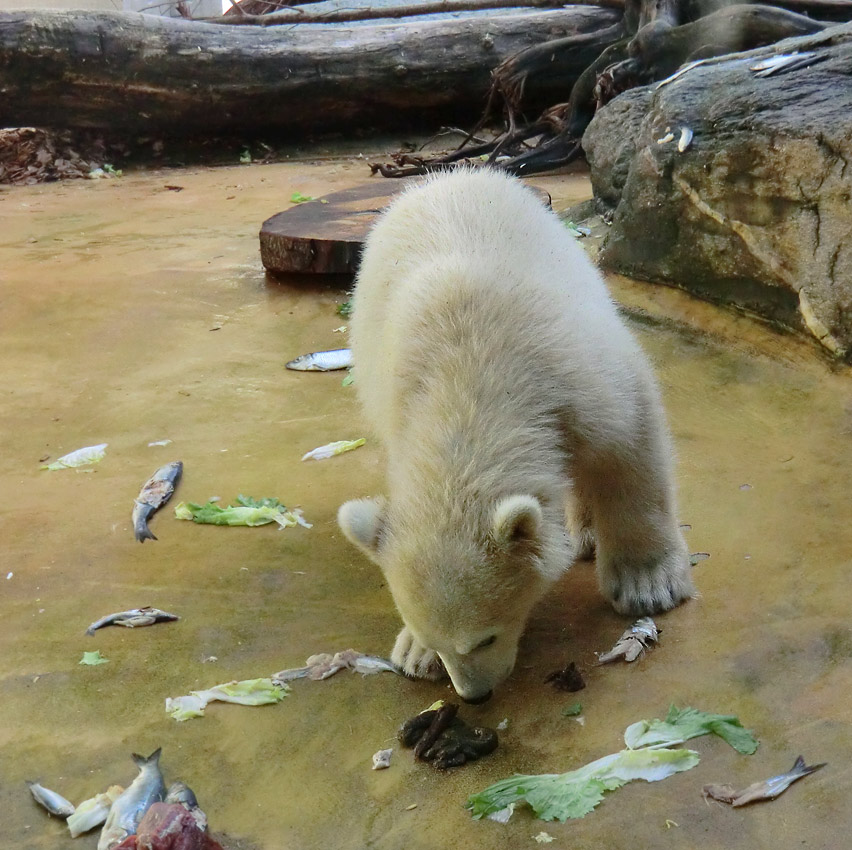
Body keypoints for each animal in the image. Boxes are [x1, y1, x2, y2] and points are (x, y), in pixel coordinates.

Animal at [336, 167, 696, 704]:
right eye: (434, 638)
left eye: (485, 637)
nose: (475, 695)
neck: (469, 379)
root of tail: (447, 176)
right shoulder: (399, 397)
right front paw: (414, 657)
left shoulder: (574, 373)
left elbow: (628, 441)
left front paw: (646, 584)